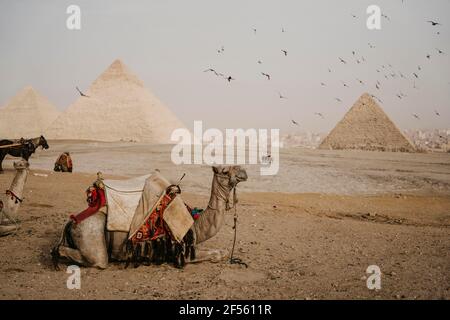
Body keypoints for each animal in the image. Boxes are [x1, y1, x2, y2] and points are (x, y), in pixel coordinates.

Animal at [53, 166, 250, 268]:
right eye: (225, 171)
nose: (243, 171)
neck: (193, 224)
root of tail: (71, 221)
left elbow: (222, 252)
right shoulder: (179, 251)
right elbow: (217, 254)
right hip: (90, 234)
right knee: (97, 259)